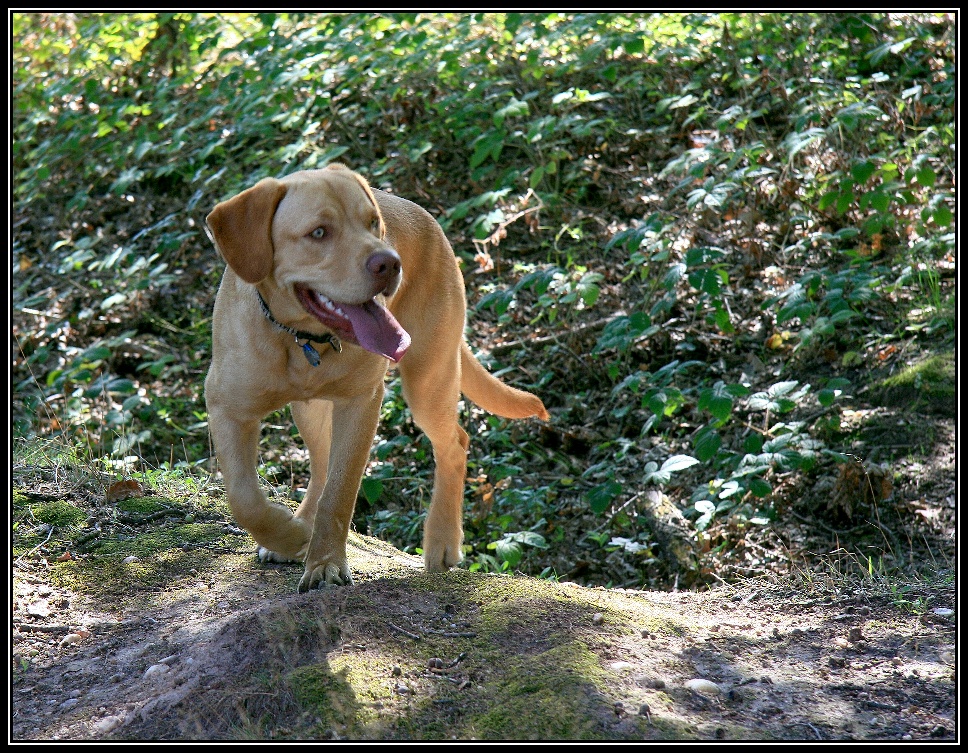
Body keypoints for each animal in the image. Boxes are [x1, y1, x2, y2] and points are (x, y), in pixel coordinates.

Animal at [204, 166, 548, 592]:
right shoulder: (227, 407)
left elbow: (340, 492)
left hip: (428, 378)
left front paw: (325, 563)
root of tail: (429, 220)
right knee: (321, 464)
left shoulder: (361, 403)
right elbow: (244, 497)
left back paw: (442, 540)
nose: (390, 263)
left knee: (453, 444)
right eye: (319, 232)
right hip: (312, 409)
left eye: (372, 224)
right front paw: (291, 536)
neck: (299, 338)